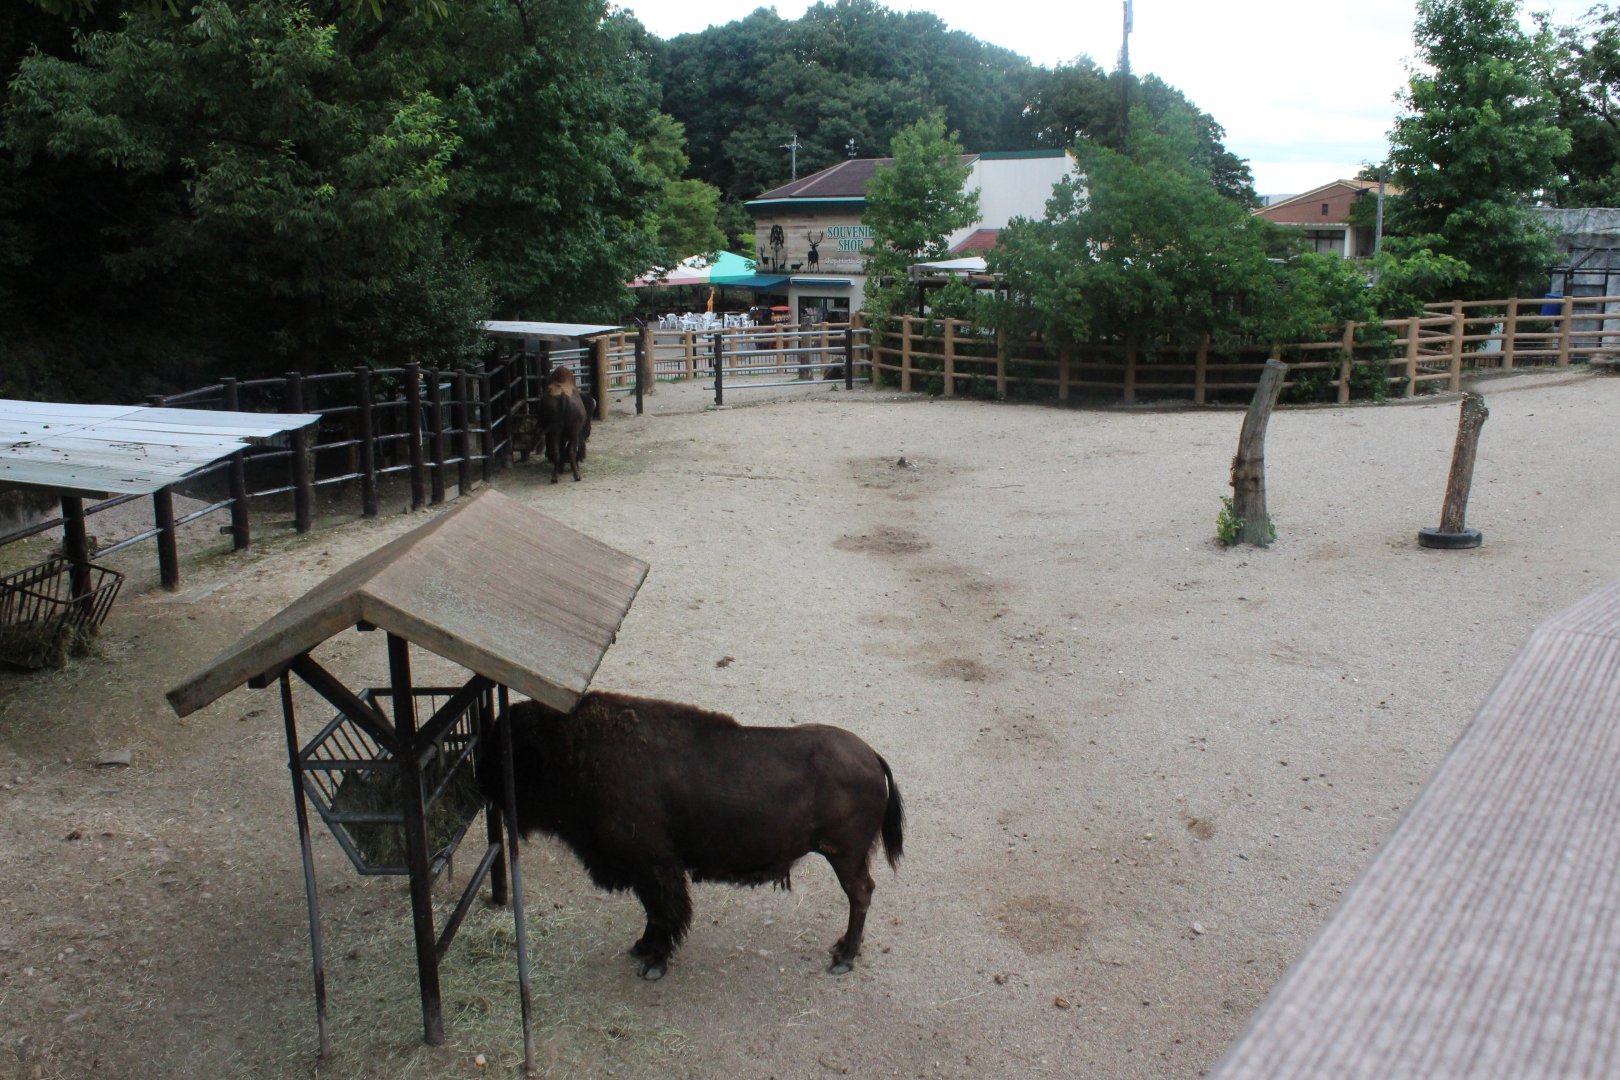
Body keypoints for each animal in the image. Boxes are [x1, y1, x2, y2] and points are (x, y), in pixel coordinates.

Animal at [477, 691, 904, 980]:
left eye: (511, 755)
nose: (482, 783)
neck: (576, 750)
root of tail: (872, 757)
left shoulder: (654, 866)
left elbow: (665, 911)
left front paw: (654, 963)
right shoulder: (649, 871)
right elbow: (654, 912)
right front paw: (641, 949)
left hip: (844, 855)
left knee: (860, 894)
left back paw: (843, 959)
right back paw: (841, 950)